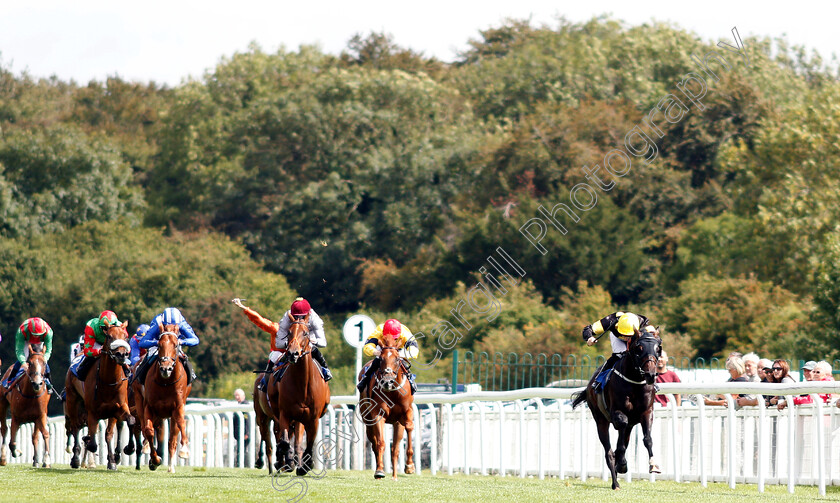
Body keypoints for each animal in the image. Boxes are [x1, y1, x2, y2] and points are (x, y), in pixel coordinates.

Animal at [63, 320, 131, 470]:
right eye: (109, 336)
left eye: (125, 336)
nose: (121, 354)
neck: (108, 382)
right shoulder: (92, 411)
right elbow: (93, 443)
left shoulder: (117, 408)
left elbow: (116, 430)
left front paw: (114, 460)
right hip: (72, 400)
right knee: (75, 427)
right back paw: (75, 459)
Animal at [136, 326, 192, 472]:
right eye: (159, 345)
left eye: (176, 345)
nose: (166, 368)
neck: (166, 383)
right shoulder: (149, 407)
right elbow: (149, 431)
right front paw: (154, 460)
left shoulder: (178, 406)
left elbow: (181, 424)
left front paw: (184, 449)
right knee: (144, 427)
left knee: (172, 439)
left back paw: (171, 467)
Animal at [270, 316, 334, 476]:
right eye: (289, 332)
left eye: (305, 333)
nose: (293, 353)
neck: (302, 385)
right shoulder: (284, 414)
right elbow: (285, 441)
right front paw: (289, 463)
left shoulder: (313, 418)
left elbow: (309, 443)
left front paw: (305, 466)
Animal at [358, 342, 416, 480]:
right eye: (381, 359)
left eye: (397, 359)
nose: (387, 381)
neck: (393, 392)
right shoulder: (378, 414)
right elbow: (380, 443)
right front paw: (379, 471)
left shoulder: (406, 412)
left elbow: (409, 427)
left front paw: (410, 466)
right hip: (367, 420)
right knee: (374, 443)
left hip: (397, 423)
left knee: (395, 449)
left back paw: (394, 476)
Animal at [572, 328, 664, 490]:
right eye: (639, 348)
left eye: (658, 348)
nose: (651, 375)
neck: (634, 381)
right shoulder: (617, 413)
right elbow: (621, 430)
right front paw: (621, 463)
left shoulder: (646, 412)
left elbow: (647, 439)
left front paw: (653, 465)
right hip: (600, 420)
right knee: (609, 452)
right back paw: (616, 482)